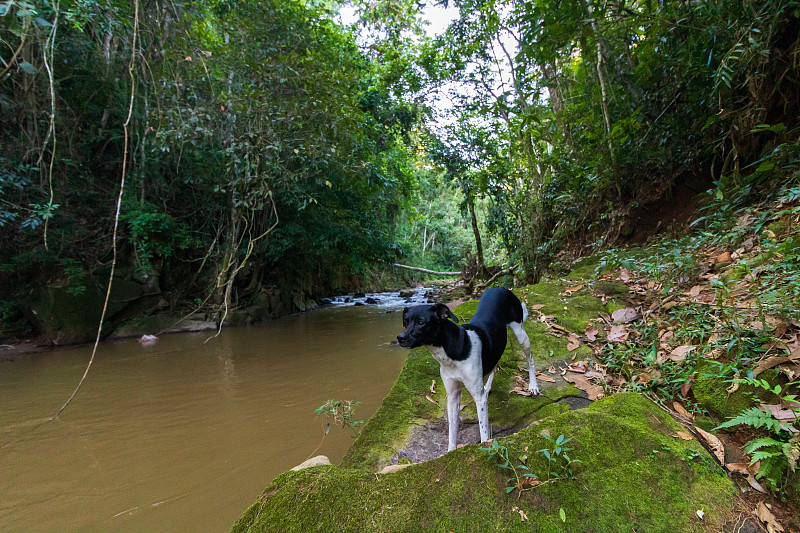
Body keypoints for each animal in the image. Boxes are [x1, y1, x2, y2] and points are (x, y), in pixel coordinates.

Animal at [396, 288, 540, 450]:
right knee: (495, 365)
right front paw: (451, 452)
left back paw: (533, 386)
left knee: (530, 360)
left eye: (421, 322)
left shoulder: (479, 398)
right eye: (405, 322)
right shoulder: (452, 396)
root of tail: (498, 288)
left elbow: (483, 430)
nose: (400, 338)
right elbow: (452, 430)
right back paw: (488, 386)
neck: (453, 350)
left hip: (521, 334)